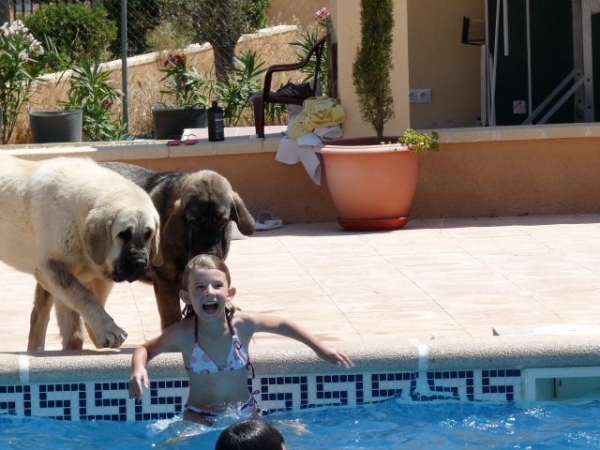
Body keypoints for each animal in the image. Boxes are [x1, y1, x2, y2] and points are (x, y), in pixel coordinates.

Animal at [0, 155, 162, 352]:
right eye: (123, 234)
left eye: (148, 235)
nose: (140, 263)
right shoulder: (51, 269)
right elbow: (84, 296)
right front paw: (109, 330)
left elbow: (73, 322)